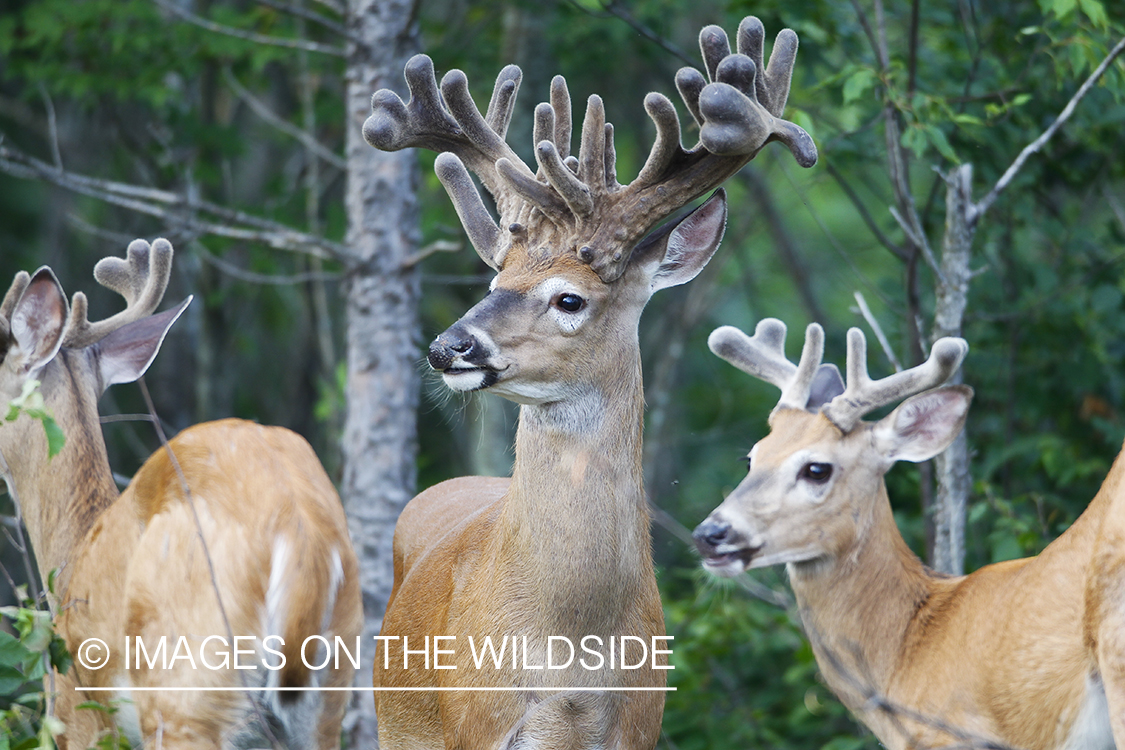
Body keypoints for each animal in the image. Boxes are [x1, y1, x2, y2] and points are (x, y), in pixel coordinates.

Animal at [369, 16, 819, 750]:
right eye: (494, 282)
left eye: (569, 299)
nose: (446, 347)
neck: (570, 656)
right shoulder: (475, 725)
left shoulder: (639, 726)